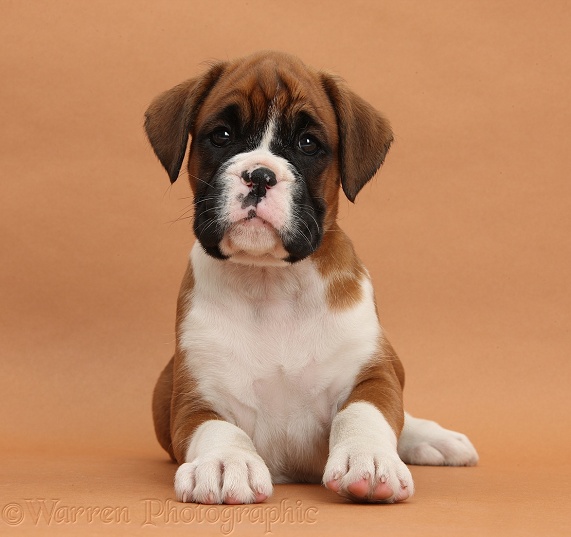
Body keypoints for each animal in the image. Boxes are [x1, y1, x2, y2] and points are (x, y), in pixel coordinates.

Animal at [146, 49, 478, 502]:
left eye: (307, 144)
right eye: (222, 135)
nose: (260, 174)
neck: (271, 283)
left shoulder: (374, 373)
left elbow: (363, 413)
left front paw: (369, 459)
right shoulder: (193, 399)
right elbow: (218, 429)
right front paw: (225, 463)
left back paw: (432, 438)